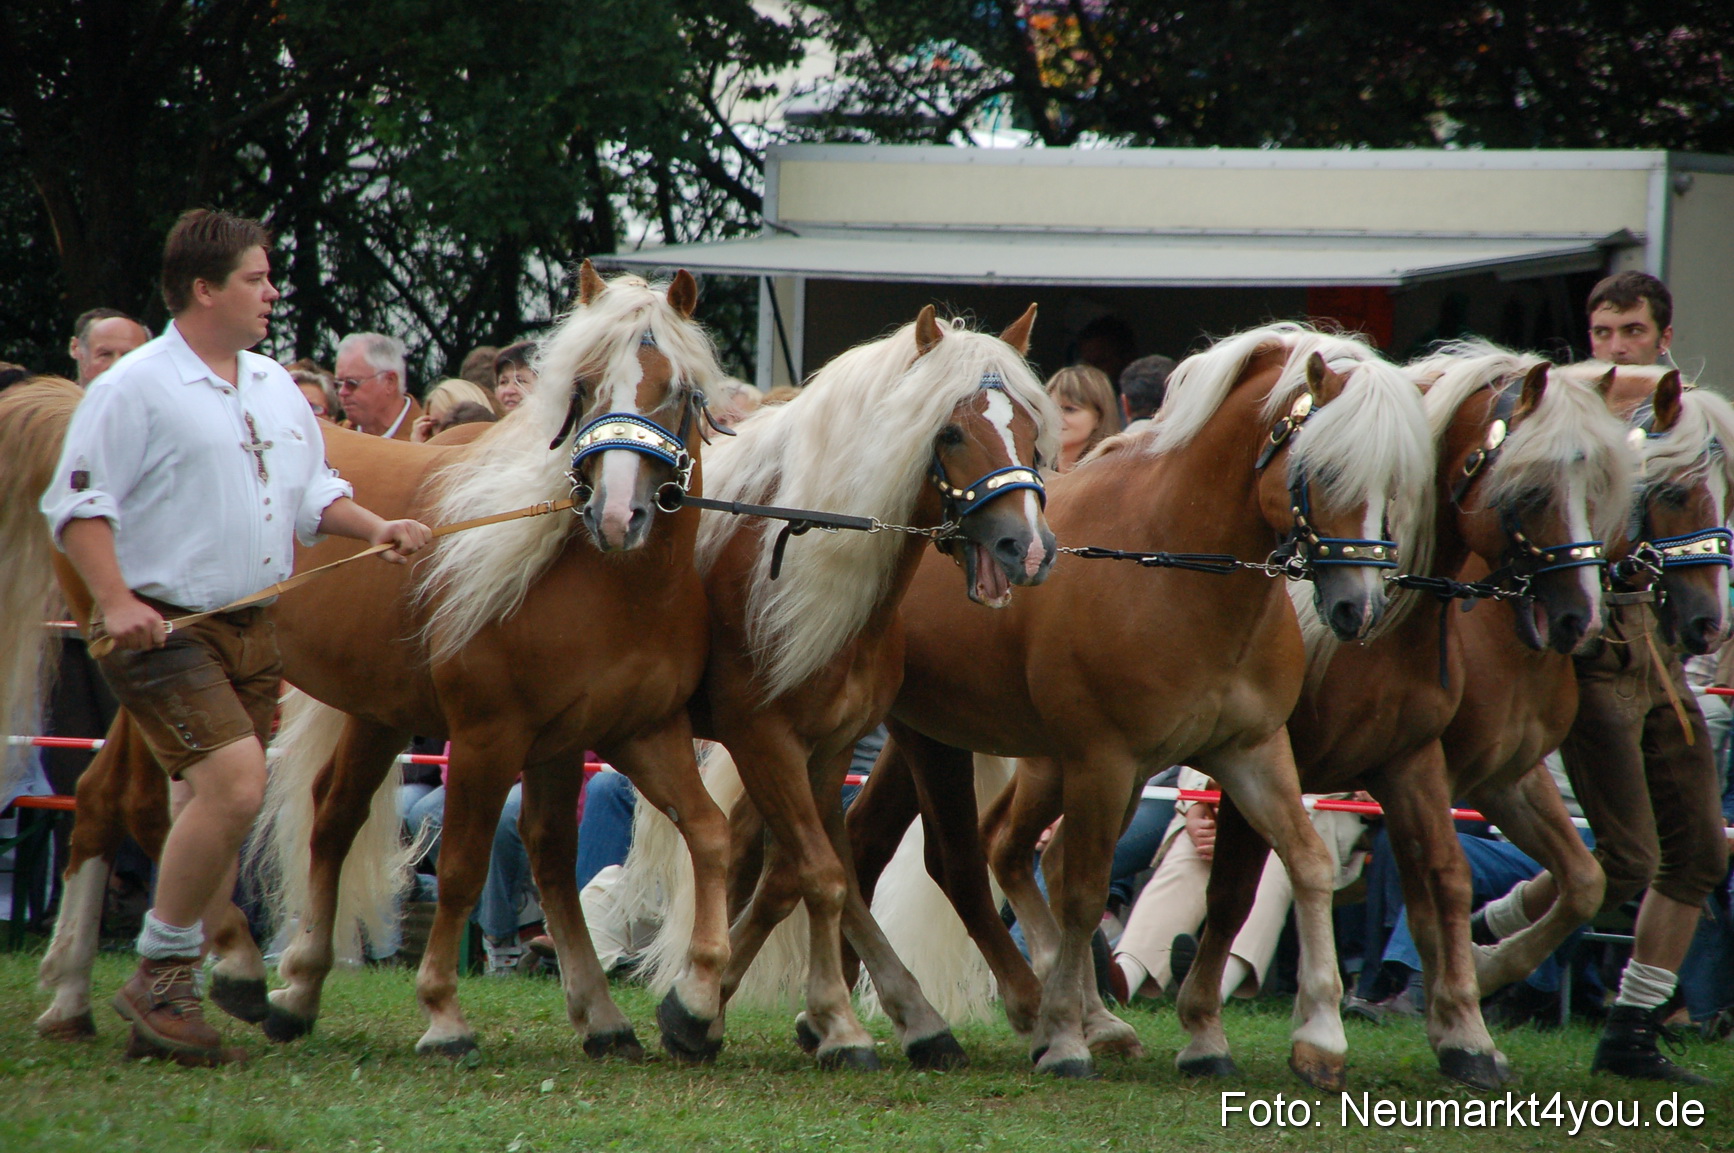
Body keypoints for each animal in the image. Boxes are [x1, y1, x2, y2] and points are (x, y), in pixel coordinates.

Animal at [609, 305, 1054, 1069]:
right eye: (950, 431)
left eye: (1030, 427)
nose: (1024, 548)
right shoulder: (763, 738)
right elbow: (818, 871)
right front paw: (712, 1006)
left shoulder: (828, 745)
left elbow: (816, 871)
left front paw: (849, 1017)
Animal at [843, 324, 1435, 1084]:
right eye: (1326, 471)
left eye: (1396, 485)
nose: (1358, 608)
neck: (1172, 565)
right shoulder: (1104, 759)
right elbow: (1083, 890)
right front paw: (1066, 1040)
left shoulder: (1248, 750)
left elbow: (1304, 861)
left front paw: (1315, 1037)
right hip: (938, 744)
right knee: (954, 863)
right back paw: (1004, 1012)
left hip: (956, 741)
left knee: (897, 846)